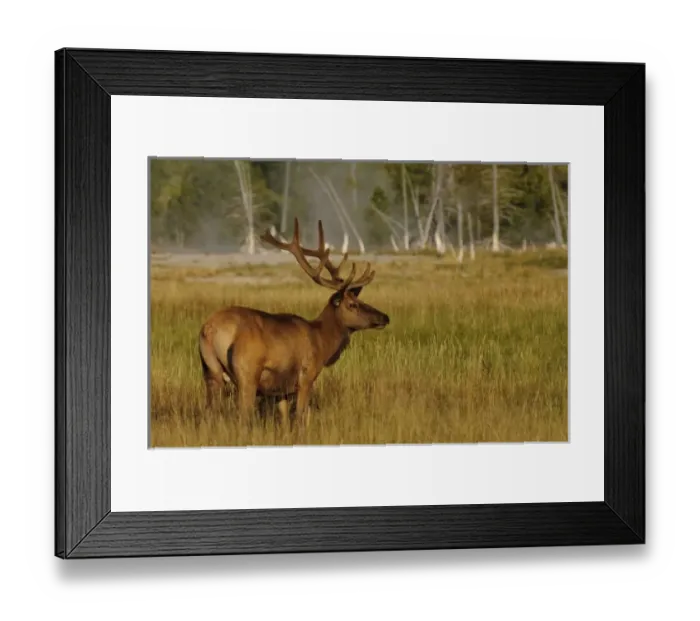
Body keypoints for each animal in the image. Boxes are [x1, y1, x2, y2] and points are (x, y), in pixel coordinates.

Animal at [197, 218, 390, 428]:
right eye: (352, 304)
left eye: (360, 300)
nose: (384, 317)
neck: (322, 341)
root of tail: (209, 329)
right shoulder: (306, 376)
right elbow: (300, 416)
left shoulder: (281, 389)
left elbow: (283, 418)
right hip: (247, 373)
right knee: (243, 415)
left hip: (210, 371)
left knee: (208, 413)